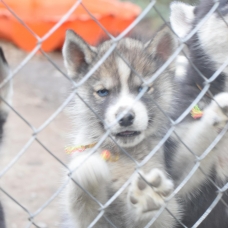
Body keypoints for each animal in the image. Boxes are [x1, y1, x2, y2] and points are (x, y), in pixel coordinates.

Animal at [62, 27, 182, 228]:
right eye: (103, 92)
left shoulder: (166, 216)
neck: (124, 155)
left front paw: (149, 196)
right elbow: (80, 199)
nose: (125, 117)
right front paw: (87, 169)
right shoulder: (91, 220)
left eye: (143, 89)